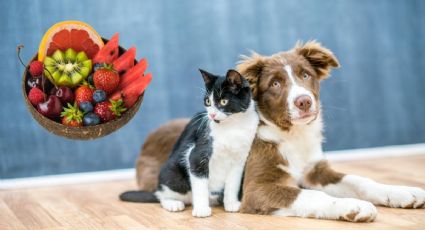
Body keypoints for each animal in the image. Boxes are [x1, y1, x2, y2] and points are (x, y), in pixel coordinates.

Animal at [119, 68, 258, 217]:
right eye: (208, 101)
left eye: (224, 101)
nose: (212, 115)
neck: (233, 126)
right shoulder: (196, 154)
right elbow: (200, 183)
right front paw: (202, 210)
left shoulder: (239, 160)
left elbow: (233, 183)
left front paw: (231, 203)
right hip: (172, 174)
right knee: (162, 195)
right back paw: (173, 203)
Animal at [136, 41, 424, 223]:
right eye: (275, 84)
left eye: (305, 75)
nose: (304, 102)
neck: (291, 136)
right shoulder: (257, 188)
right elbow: (311, 195)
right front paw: (351, 206)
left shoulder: (315, 170)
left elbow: (360, 180)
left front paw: (403, 193)